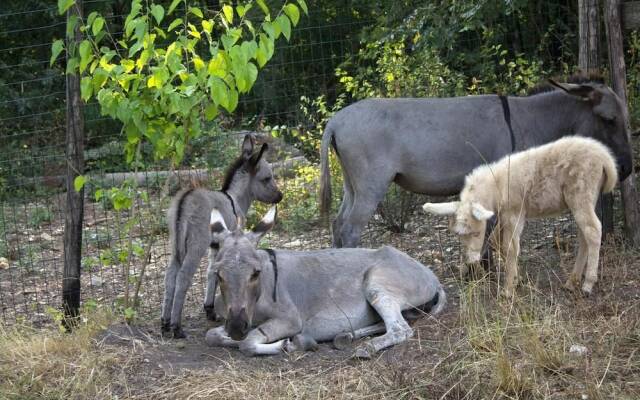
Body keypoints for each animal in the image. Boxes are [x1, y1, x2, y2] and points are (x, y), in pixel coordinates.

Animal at [159, 134, 280, 338]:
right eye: (266, 178)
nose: (280, 196)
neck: (234, 198)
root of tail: (185, 199)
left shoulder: (216, 245)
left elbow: (211, 272)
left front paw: (209, 310)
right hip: (196, 245)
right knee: (183, 277)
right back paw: (177, 327)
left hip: (176, 245)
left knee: (170, 276)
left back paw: (165, 323)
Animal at [205, 206, 444, 356]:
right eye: (218, 274)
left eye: (255, 273)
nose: (237, 327)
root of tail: (432, 276)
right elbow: (211, 336)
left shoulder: (290, 319)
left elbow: (248, 342)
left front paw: (286, 345)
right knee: (387, 324)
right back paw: (344, 336)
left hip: (377, 285)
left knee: (400, 329)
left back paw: (364, 349)